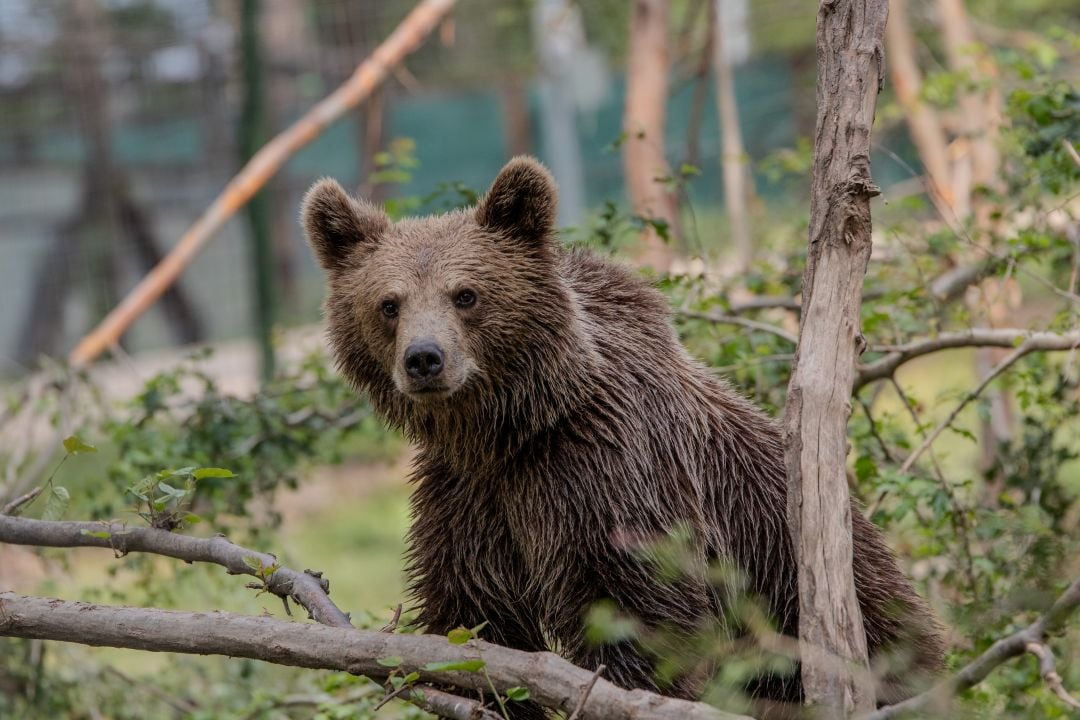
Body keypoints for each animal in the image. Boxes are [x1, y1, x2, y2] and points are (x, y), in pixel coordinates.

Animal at [301, 156, 944, 718]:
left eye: (466, 294)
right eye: (388, 303)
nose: (424, 358)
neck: (513, 429)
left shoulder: (609, 471)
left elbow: (637, 615)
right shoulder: (471, 498)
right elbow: (476, 619)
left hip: (815, 589)